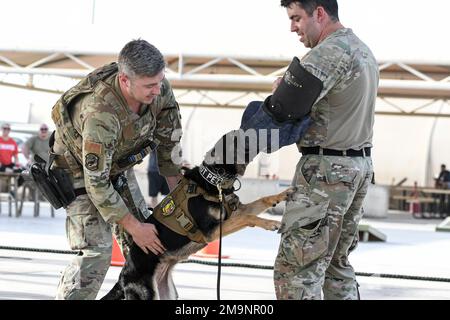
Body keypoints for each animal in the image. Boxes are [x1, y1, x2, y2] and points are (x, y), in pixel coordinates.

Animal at [100, 164, 294, 302]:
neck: (213, 182)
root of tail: (122, 277)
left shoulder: (236, 213)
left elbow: (262, 200)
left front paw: (283, 194)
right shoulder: (213, 230)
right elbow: (249, 217)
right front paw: (272, 223)